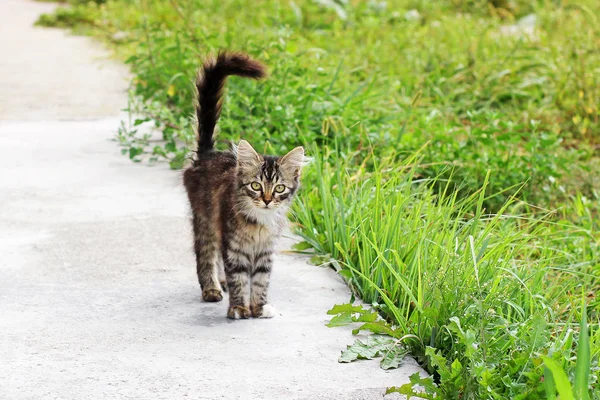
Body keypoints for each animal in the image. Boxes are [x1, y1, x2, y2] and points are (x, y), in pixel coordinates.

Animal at [182, 50, 304, 318]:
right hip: (206, 221)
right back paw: (212, 289)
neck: (260, 222)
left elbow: (260, 281)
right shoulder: (234, 246)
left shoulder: (266, 252)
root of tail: (208, 154)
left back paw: (221, 282)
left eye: (279, 188)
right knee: (206, 255)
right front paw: (239, 307)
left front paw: (259, 308)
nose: (267, 200)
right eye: (256, 186)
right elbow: (239, 278)